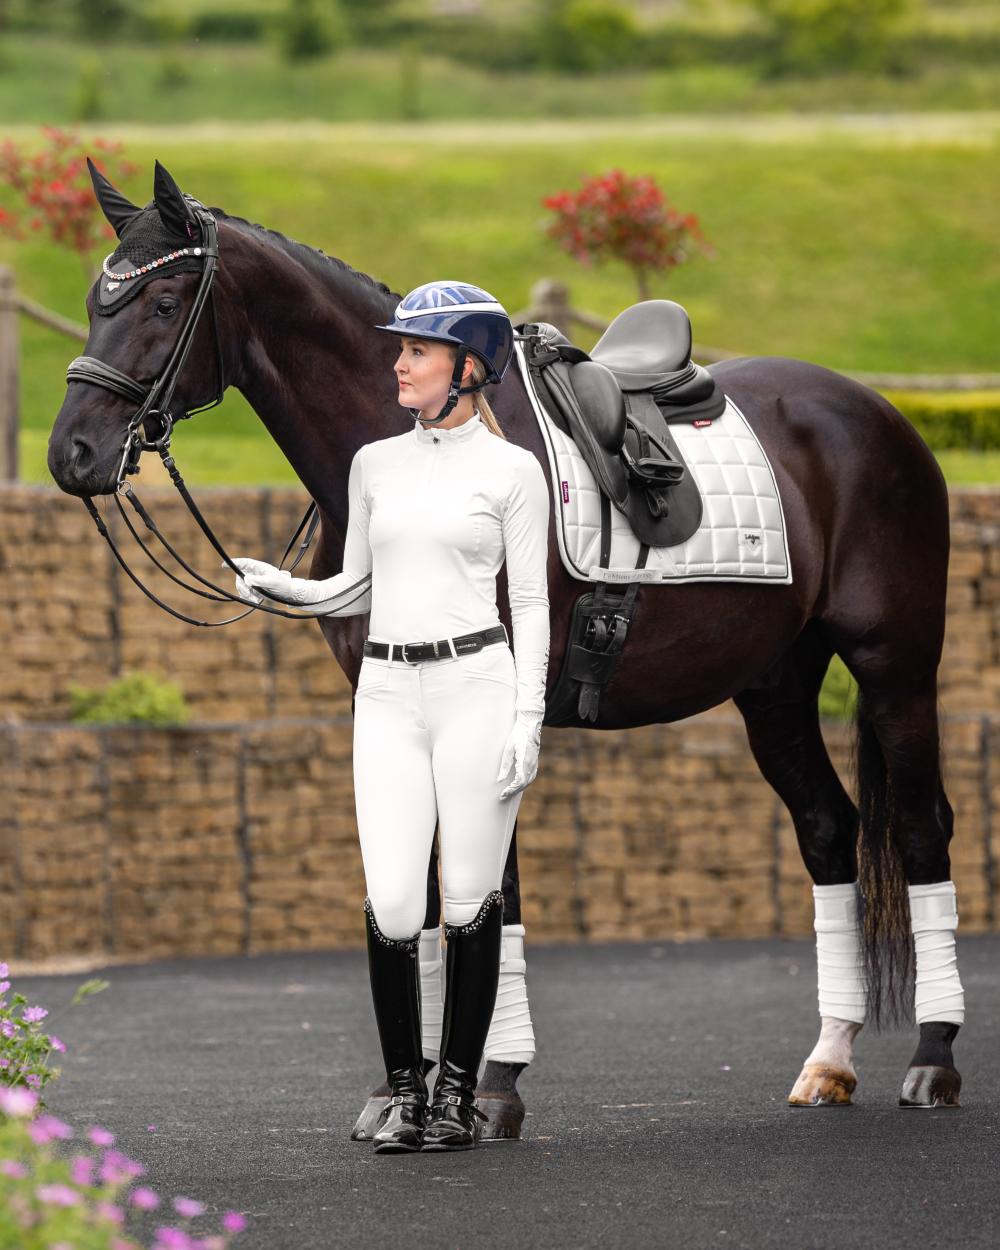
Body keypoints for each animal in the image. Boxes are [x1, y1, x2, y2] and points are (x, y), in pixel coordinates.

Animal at [45, 161, 960, 1130]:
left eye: (165, 298)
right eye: (99, 299)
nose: (73, 453)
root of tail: (875, 412)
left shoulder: (492, 709)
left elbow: (490, 887)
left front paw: (490, 1085)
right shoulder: (394, 702)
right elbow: (422, 885)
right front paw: (403, 1091)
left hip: (895, 664)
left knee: (920, 827)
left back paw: (933, 1058)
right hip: (775, 683)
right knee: (829, 831)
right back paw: (830, 1059)